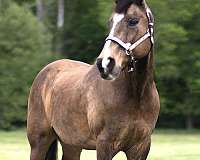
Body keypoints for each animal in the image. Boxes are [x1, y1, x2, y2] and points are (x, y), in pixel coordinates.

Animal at [27, 0, 160, 160]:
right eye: (110, 23)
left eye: (133, 21)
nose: (105, 63)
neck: (136, 97)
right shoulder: (104, 144)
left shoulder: (140, 147)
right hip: (39, 142)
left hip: (72, 144)